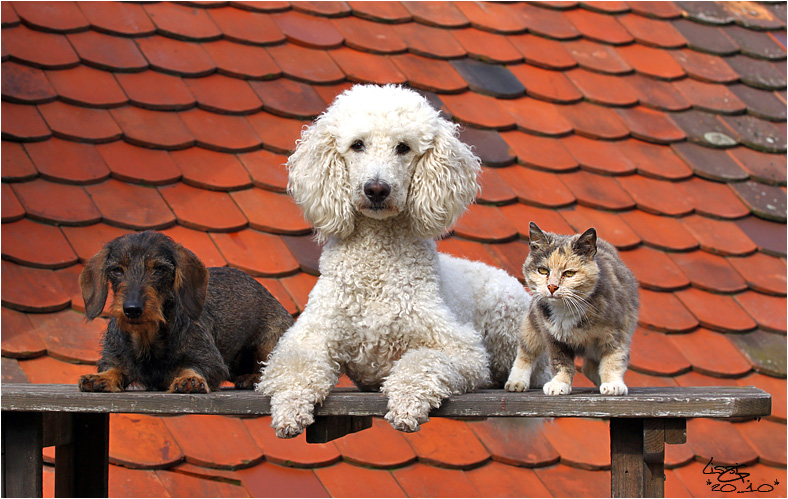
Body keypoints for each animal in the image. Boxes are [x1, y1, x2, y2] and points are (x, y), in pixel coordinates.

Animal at [504, 223, 640, 398]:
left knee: (589, 366)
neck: (567, 310)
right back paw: (516, 382)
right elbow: (560, 362)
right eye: (543, 270)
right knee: (526, 351)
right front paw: (558, 385)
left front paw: (612, 384)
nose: (552, 287)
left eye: (569, 273)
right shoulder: (553, 337)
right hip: (532, 323)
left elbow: (614, 359)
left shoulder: (617, 332)